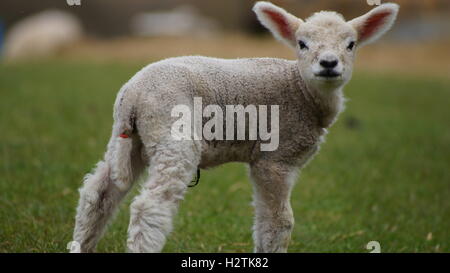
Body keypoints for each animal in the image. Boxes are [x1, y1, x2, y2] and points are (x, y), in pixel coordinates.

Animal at [72, 1, 400, 252]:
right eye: (302, 44)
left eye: (351, 44)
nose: (329, 64)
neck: (301, 89)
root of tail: (132, 95)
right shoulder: (275, 159)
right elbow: (279, 222)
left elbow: (266, 220)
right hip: (172, 133)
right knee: (149, 207)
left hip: (132, 140)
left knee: (97, 194)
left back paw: (81, 244)